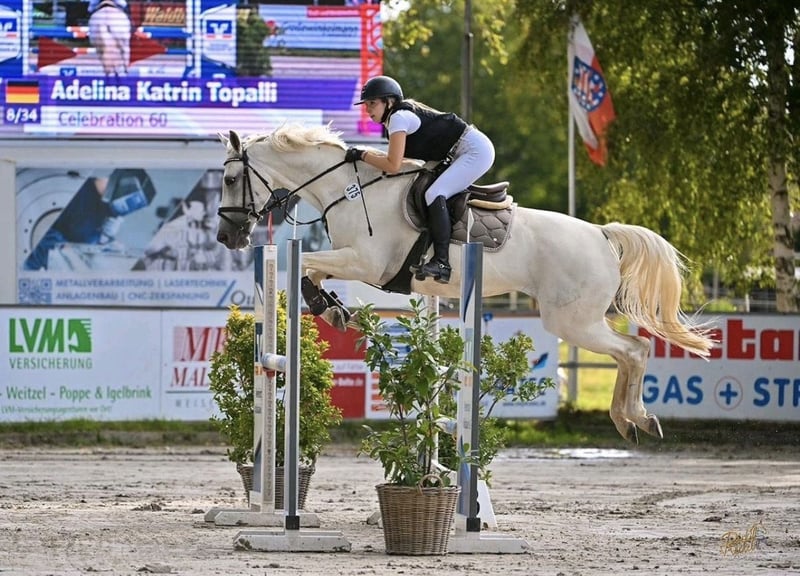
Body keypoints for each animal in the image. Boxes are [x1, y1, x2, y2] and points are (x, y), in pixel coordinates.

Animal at [215, 123, 715, 443]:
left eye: (231, 178)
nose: (226, 237)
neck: (349, 189)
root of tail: (602, 234)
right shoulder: (353, 261)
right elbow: (313, 271)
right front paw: (332, 308)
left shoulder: (368, 263)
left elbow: (307, 263)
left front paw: (328, 306)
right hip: (579, 319)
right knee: (633, 352)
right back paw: (633, 421)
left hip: (571, 321)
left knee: (635, 350)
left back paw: (635, 419)